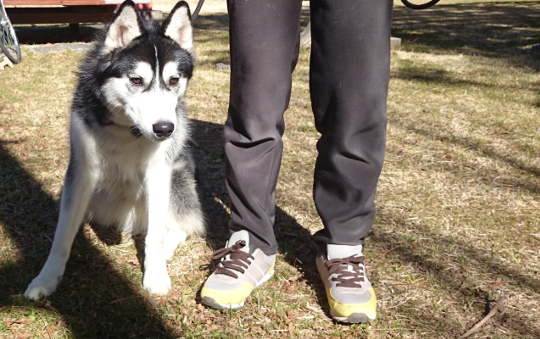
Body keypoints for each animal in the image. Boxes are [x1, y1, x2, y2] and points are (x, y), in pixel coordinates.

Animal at [23, 1, 206, 302]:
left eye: (174, 80)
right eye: (136, 80)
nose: (165, 128)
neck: (126, 129)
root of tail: (127, 222)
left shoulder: (159, 171)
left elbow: (156, 234)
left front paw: (155, 274)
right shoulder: (81, 170)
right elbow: (63, 233)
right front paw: (47, 278)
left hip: (178, 174)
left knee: (182, 223)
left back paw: (166, 247)